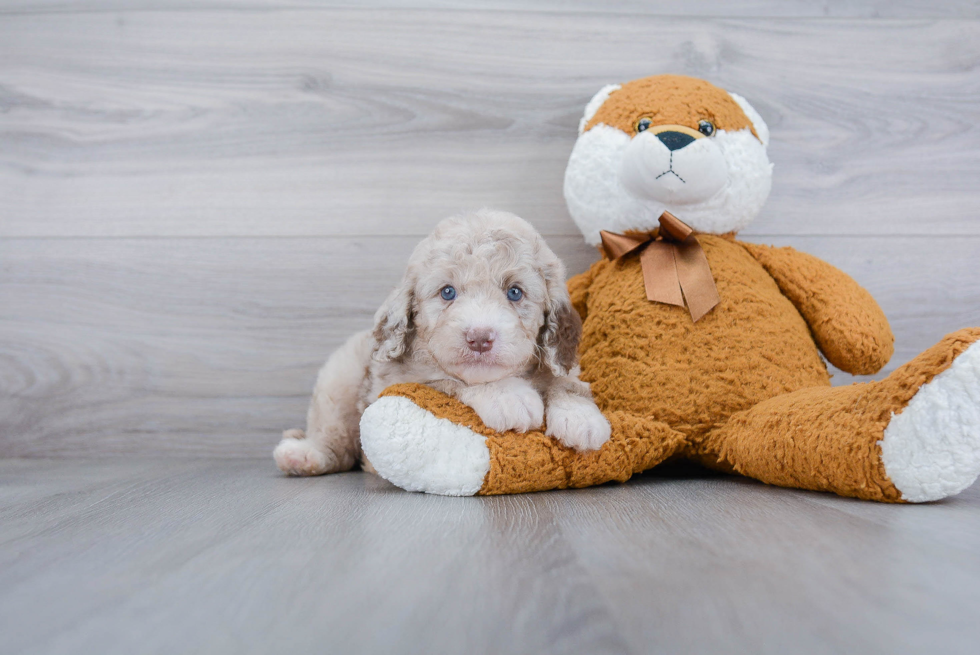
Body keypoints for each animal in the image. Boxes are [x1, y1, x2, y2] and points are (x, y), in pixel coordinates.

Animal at [276, 208, 608, 474]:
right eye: (448, 292)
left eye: (515, 292)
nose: (479, 338)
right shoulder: (399, 380)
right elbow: (450, 380)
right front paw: (507, 396)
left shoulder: (564, 362)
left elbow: (565, 381)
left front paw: (581, 417)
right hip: (339, 377)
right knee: (335, 439)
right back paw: (303, 455)